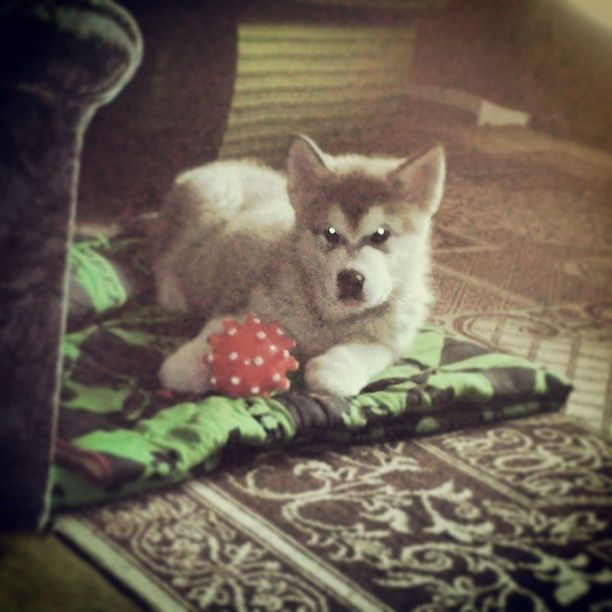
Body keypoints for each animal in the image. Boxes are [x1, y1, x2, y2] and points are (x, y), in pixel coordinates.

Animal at [150, 135, 442, 396]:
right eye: (331, 233)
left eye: (380, 235)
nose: (351, 279)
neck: (329, 320)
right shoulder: (245, 300)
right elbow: (222, 327)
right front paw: (187, 365)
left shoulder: (393, 339)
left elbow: (369, 350)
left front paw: (336, 369)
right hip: (213, 201)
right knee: (164, 257)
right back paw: (173, 295)